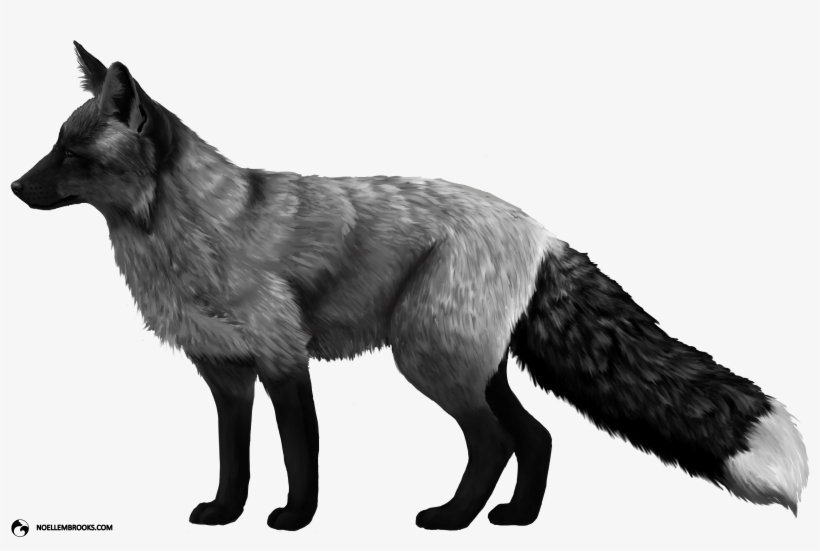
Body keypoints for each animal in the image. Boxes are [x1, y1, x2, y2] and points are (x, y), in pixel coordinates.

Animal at [10, 42, 809, 532]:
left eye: (74, 155)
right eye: (55, 144)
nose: (15, 188)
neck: (194, 230)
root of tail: (539, 227)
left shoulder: (282, 357)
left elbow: (300, 453)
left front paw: (295, 520)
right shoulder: (225, 372)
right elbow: (234, 457)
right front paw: (226, 513)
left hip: (428, 359)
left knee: (495, 441)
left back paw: (453, 519)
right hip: (467, 364)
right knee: (537, 436)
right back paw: (515, 520)